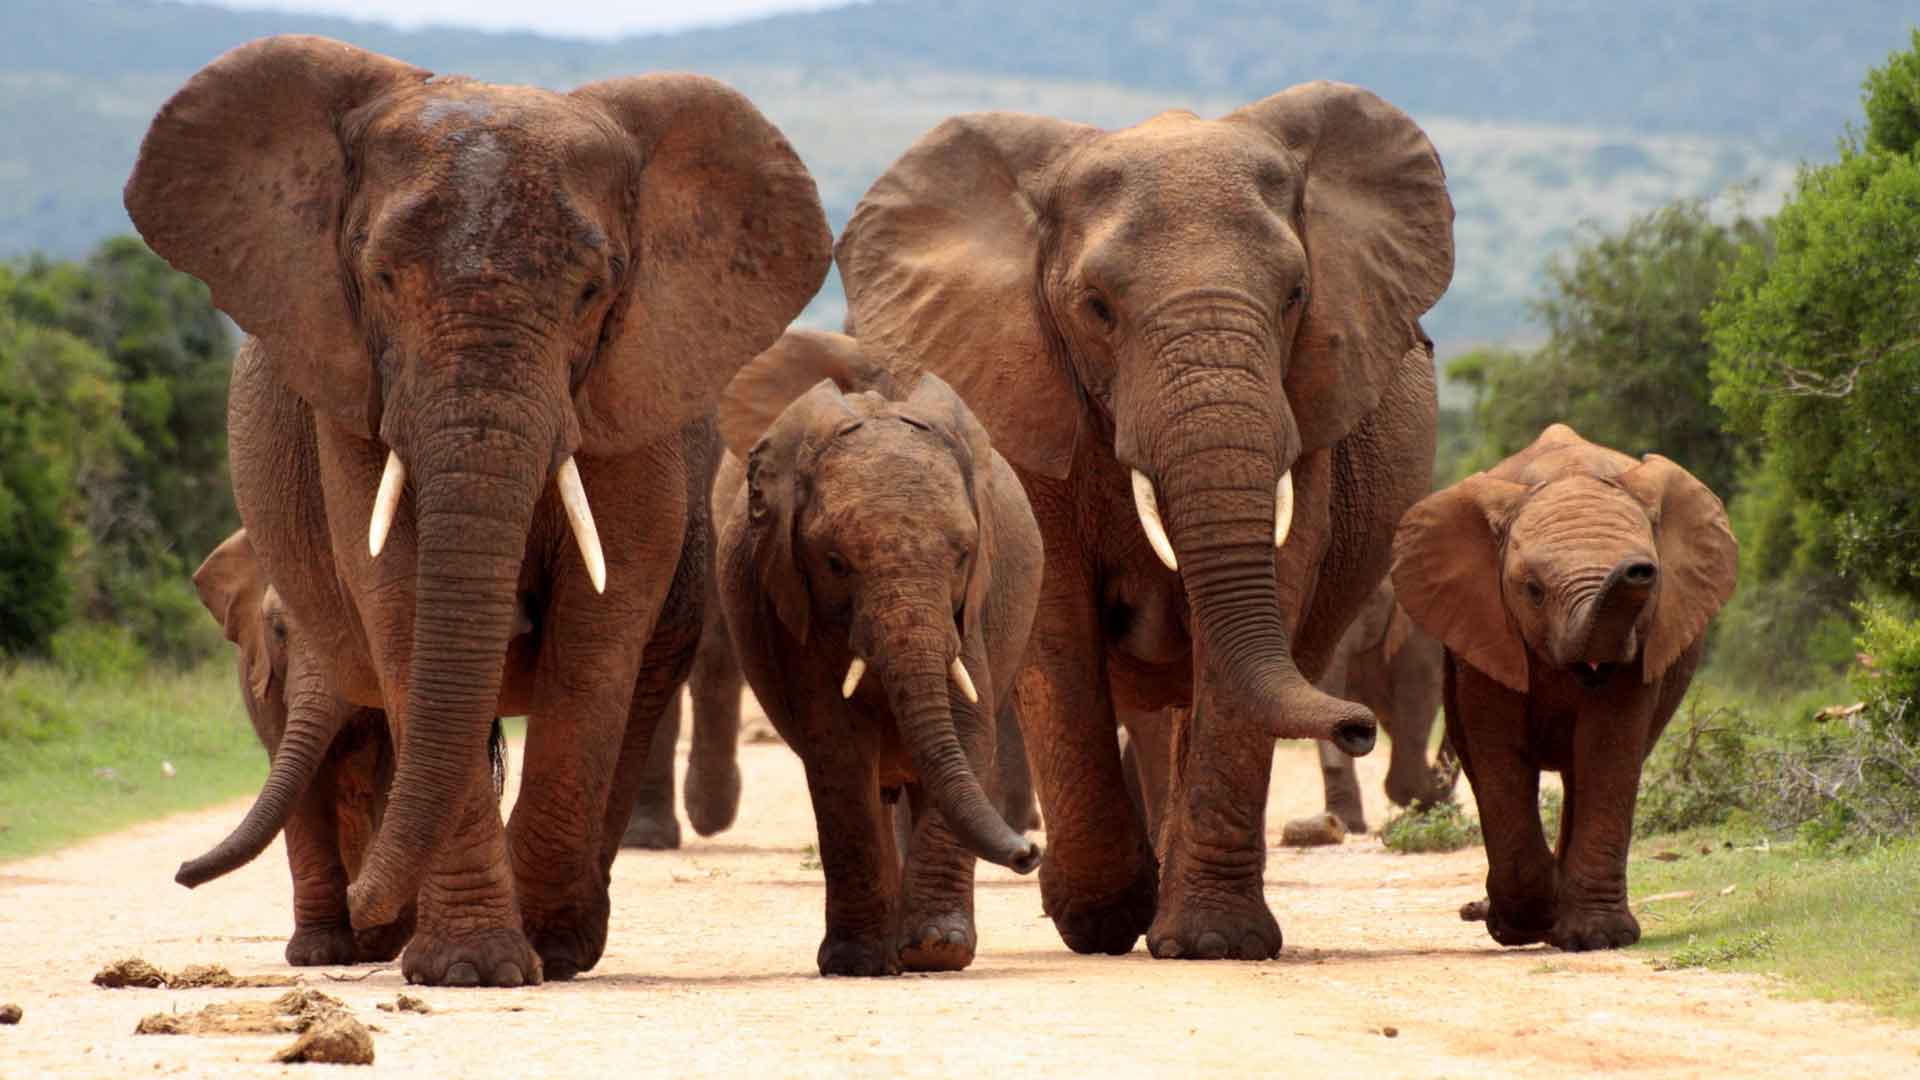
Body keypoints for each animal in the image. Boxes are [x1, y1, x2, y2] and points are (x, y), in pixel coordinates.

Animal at [124, 35, 831, 986]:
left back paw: (560, 938)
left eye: (592, 292)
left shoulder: (630, 392)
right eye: (382, 278)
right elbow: (399, 602)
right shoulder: (355, 390)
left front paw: (535, 950)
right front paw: (471, 969)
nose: (368, 904)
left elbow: (600, 626)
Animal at [715, 329, 1045, 975]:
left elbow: (968, 728)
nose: (1030, 851)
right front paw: (858, 961)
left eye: (964, 554)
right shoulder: (793, 603)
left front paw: (937, 950)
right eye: (835, 563)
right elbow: (837, 749)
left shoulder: (972, 608)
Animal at [834, 81, 1455, 959]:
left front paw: (1212, 943)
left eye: (1296, 295)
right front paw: (1098, 918)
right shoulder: (1020, 390)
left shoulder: (1309, 412)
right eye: (1096, 308)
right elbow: (1056, 620)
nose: (1359, 726)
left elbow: (1267, 593)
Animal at [1391, 424, 1737, 951]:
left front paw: (1598, 937)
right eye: (1533, 590)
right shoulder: (1486, 626)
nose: (1638, 568)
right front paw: (1521, 926)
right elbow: (1497, 751)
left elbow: (1607, 747)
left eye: (1652, 581)